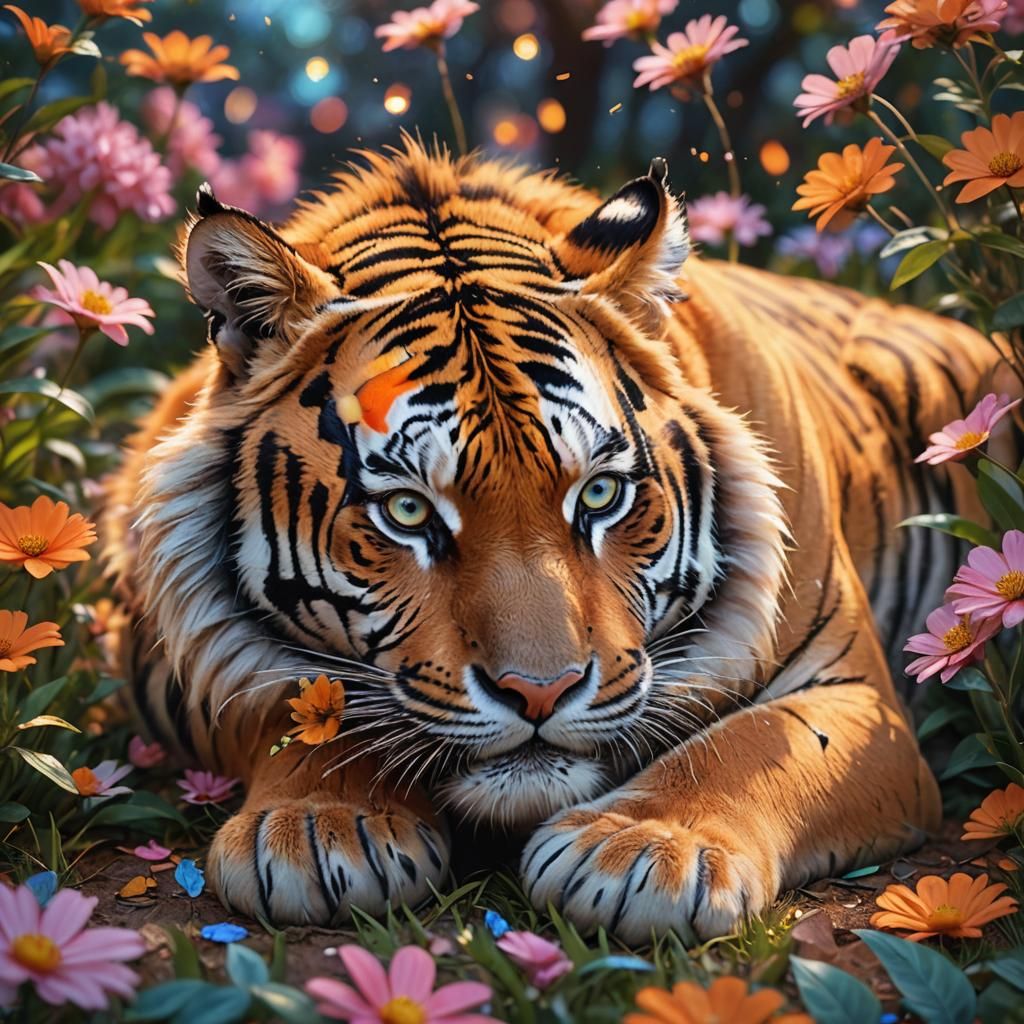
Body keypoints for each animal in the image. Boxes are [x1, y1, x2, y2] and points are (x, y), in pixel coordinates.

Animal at [105, 137, 1012, 943]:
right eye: (407, 512)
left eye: (600, 494)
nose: (540, 694)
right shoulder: (159, 656)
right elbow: (299, 703)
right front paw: (318, 824)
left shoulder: (860, 699)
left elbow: (750, 744)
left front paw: (645, 850)